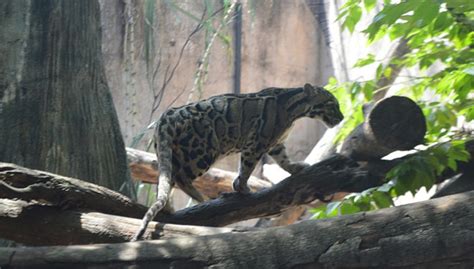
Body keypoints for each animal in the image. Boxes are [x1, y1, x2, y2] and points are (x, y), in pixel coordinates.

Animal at [131, 82, 342, 240]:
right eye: (331, 103)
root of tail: (166, 116)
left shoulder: (276, 145)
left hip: (173, 153)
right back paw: (201, 198)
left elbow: (283, 161)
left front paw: (296, 168)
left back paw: (170, 206)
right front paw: (241, 187)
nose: (341, 117)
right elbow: (246, 168)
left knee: (165, 179)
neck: (294, 108)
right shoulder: (256, 143)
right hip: (202, 151)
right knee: (180, 177)